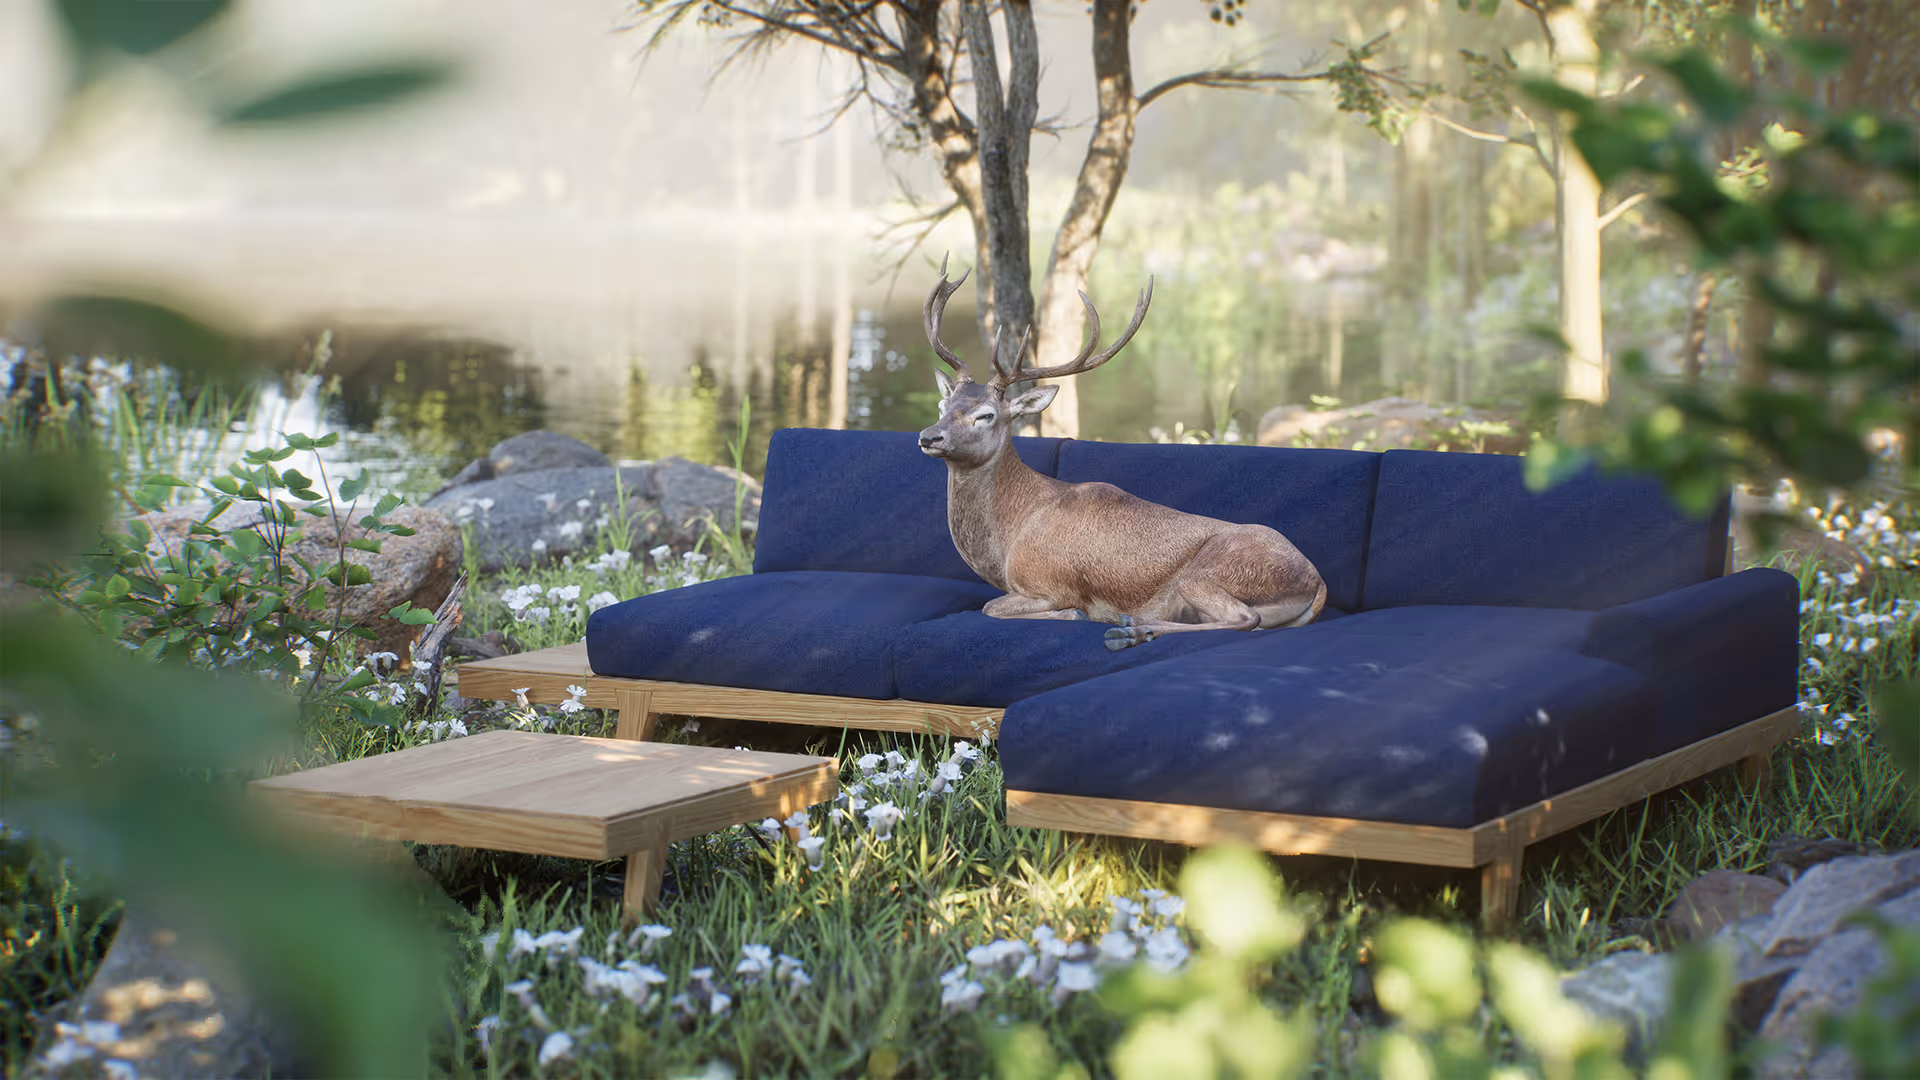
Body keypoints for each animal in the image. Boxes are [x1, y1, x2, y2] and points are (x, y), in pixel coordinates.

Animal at [917, 262, 1327, 650]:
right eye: (943, 404)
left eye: (986, 415)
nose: (928, 436)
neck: (1007, 543)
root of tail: (1317, 581)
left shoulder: (1052, 582)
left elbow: (992, 607)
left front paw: (1078, 615)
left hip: (1206, 573)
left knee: (1244, 618)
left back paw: (1132, 628)